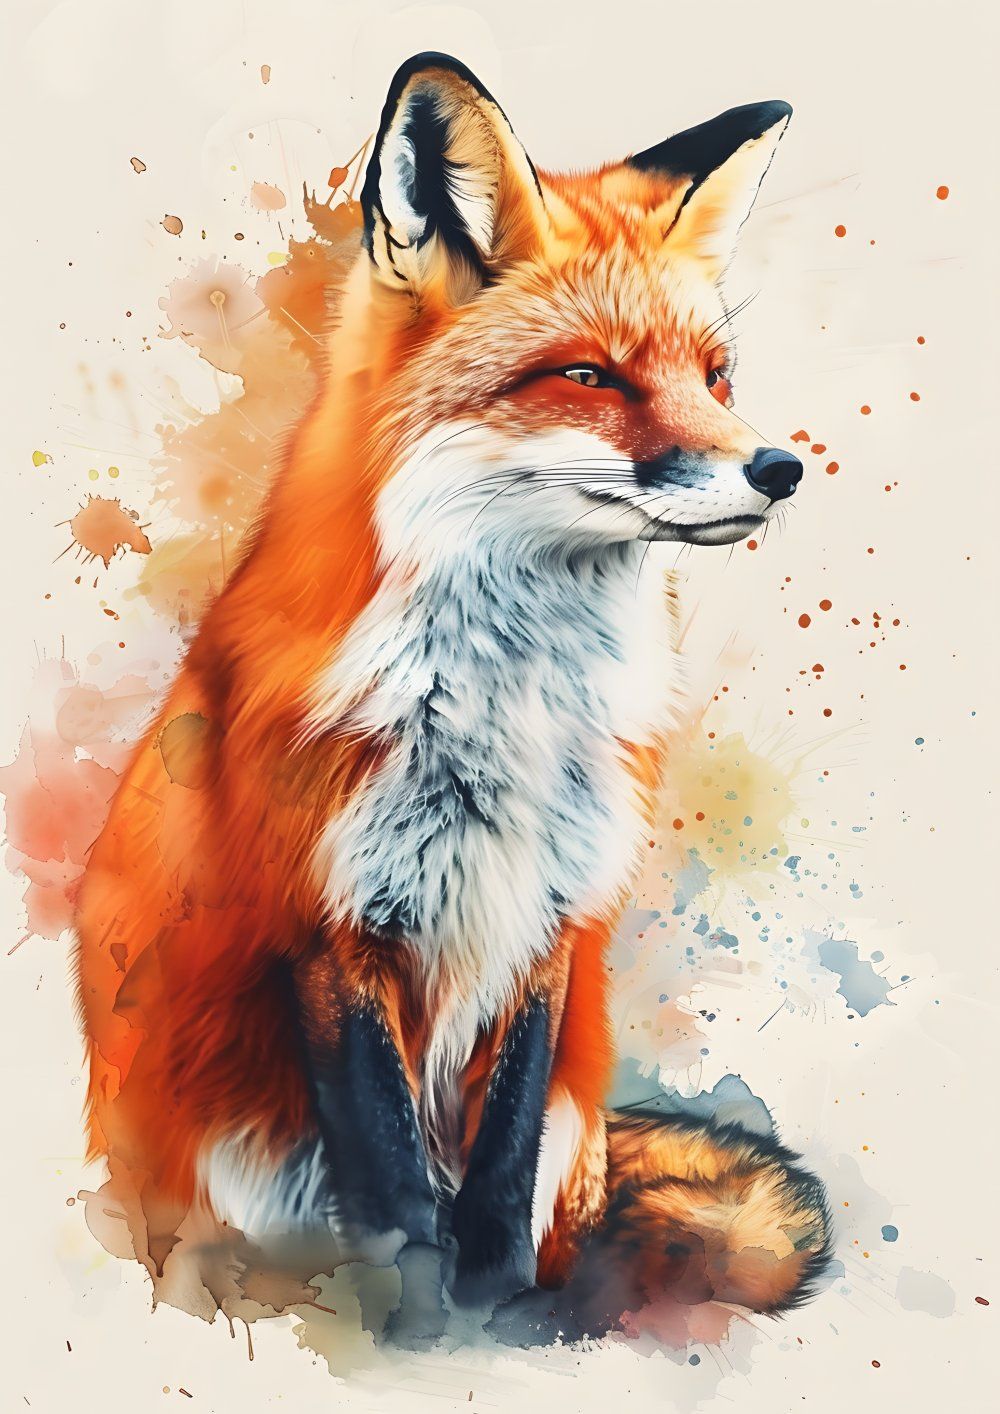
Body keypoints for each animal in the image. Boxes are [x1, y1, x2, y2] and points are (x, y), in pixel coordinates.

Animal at [75, 52, 829, 1324]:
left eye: (715, 376)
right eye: (589, 375)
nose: (780, 469)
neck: (507, 716)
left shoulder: (549, 920)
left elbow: (499, 1168)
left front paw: (494, 1305)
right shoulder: (327, 928)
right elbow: (391, 1196)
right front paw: (420, 1325)